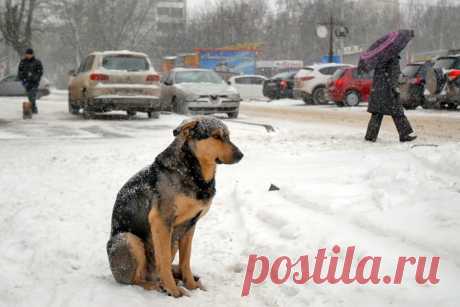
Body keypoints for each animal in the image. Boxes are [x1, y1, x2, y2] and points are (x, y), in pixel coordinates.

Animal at [107, 116, 244, 298]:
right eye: (216, 136)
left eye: (228, 136)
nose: (241, 155)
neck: (193, 171)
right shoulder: (161, 221)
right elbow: (163, 259)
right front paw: (173, 291)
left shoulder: (190, 225)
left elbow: (186, 261)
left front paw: (191, 285)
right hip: (128, 239)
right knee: (136, 280)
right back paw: (158, 285)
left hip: (171, 239)